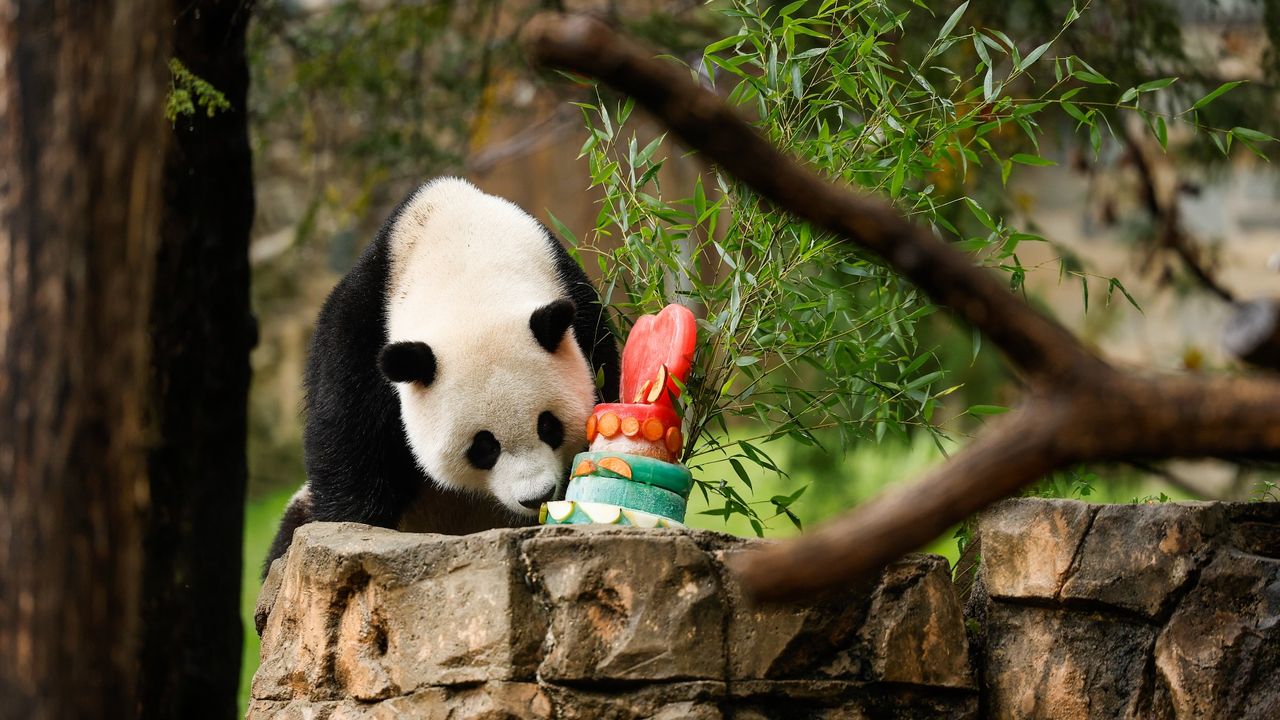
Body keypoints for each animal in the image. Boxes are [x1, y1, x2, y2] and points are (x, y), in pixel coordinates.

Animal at [264, 176, 619, 568]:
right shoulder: (361, 332)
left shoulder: (580, 308)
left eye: (548, 425)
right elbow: (348, 440)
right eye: (483, 446)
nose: (535, 496)